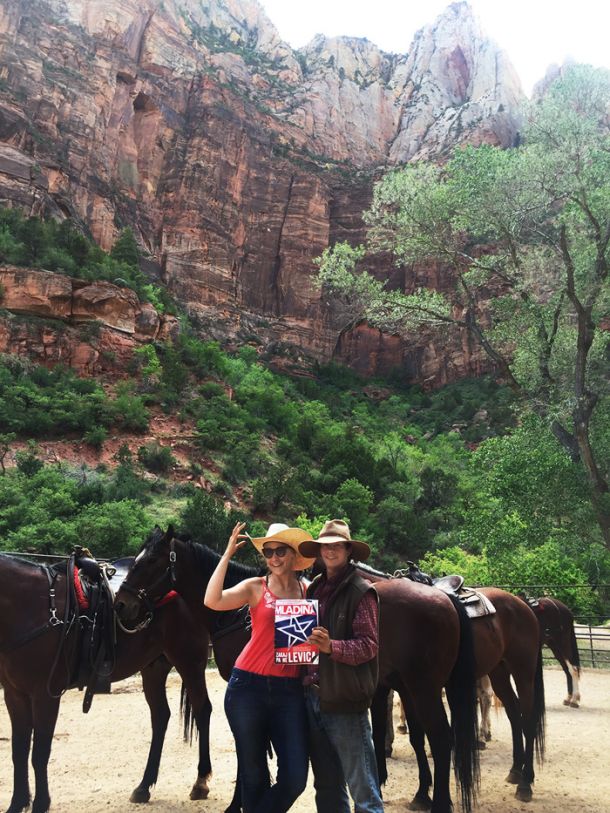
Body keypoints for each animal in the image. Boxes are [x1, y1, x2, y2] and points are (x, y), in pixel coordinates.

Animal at [0, 540, 214, 812]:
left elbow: (39, 752)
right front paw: (17, 804)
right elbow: (18, 751)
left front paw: (40, 804)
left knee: (202, 710)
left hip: (189, 661)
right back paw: (143, 787)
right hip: (153, 668)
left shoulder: (45, 695)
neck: (33, 606)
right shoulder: (15, 694)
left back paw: (200, 783)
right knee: (160, 717)